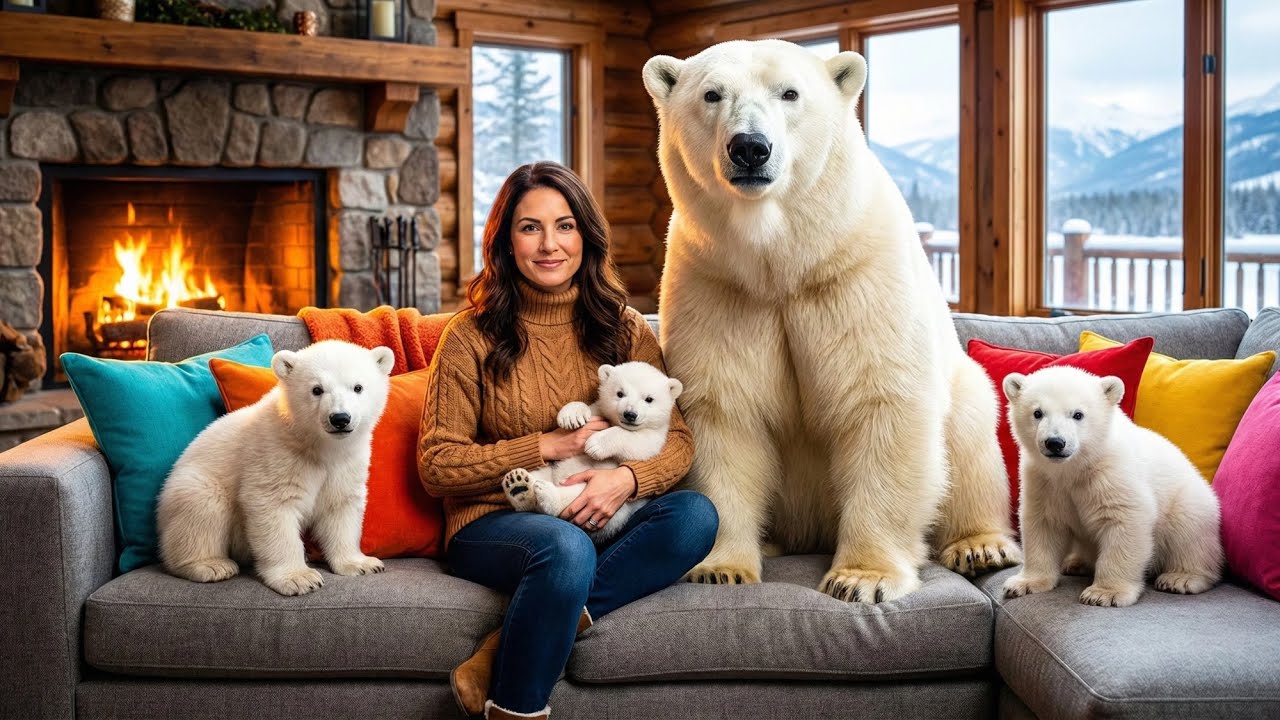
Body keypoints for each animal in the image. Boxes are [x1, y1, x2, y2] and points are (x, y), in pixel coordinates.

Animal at [156, 340, 395, 596]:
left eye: (358, 387)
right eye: (317, 389)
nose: (340, 418)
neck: (317, 445)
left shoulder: (347, 462)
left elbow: (340, 506)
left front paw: (362, 564)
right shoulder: (275, 454)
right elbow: (274, 507)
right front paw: (300, 578)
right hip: (193, 483)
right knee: (203, 509)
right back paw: (210, 565)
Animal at [501, 361, 683, 544]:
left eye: (649, 399)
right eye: (620, 393)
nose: (630, 414)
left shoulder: (656, 436)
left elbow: (638, 443)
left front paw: (595, 445)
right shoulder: (600, 411)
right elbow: (590, 408)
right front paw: (571, 417)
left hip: (614, 509)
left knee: (575, 495)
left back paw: (544, 494)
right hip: (553, 470)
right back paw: (518, 485)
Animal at [641, 39, 1020, 603]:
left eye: (789, 92)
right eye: (712, 94)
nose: (750, 147)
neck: (785, 264)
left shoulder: (854, 275)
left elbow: (881, 400)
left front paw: (862, 577)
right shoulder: (718, 286)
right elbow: (723, 412)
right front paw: (719, 567)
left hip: (966, 395)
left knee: (972, 436)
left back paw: (980, 545)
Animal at [1001, 366, 1223, 607]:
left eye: (1078, 414)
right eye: (1037, 413)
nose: (1055, 443)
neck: (1077, 467)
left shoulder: (1113, 474)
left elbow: (1125, 520)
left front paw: (1103, 593)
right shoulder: (1044, 481)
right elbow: (1043, 524)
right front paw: (1022, 583)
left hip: (1190, 502)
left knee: (1189, 533)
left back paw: (1181, 578)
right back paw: (1075, 562)